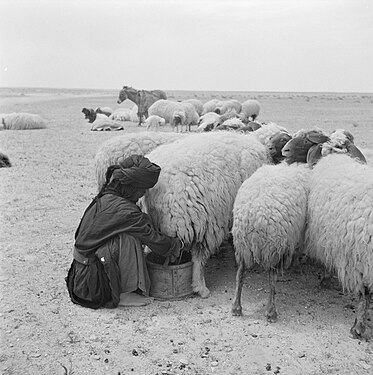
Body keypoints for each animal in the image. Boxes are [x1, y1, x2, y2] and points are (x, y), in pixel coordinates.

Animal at [231, 163, 310, 322]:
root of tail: (254, 217)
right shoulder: (298, 234)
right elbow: (298, 250)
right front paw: (297, 263)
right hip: (274, 246)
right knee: (272, 278)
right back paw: (271, 312)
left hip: (242, 244)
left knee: (240, 273)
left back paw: (236, 307)